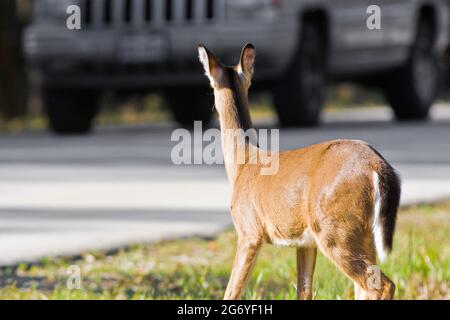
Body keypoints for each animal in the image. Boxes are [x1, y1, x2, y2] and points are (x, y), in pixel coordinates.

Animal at [197, 42, 400, 300]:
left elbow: (232, 291)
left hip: (335, 229)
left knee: (381, 284)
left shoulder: (248, 231)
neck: (243, 163)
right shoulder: (305, 242)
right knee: (363, 286)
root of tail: (378, 166)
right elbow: (304, 290)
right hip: (361, 232)